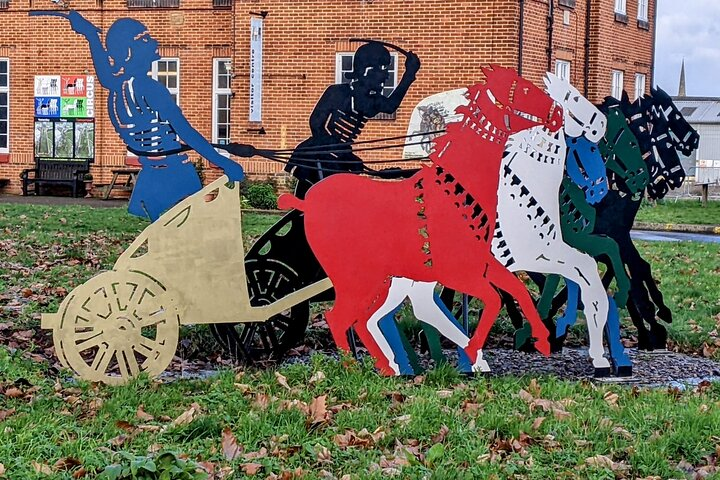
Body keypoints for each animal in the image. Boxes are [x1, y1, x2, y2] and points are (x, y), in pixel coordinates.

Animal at [280, 66, 564, 376]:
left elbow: (517, 289)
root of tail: (307, 203)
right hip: (357, 280)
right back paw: (355, 368)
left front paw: (542, 339)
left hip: (378, 282)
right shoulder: (458, 274)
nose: (559, 113)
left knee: (361, 320)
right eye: (523, 89)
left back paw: (387, 367)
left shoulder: (480, 264)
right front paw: (473, 352)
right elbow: (494, 299)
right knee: (340, 318)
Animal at [362, 74, 612, 376]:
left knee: (401, 311)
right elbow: (583, 274)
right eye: (573, 96)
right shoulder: (538, 255)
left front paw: (598, 355)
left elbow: (587, 277)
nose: (601, 123)